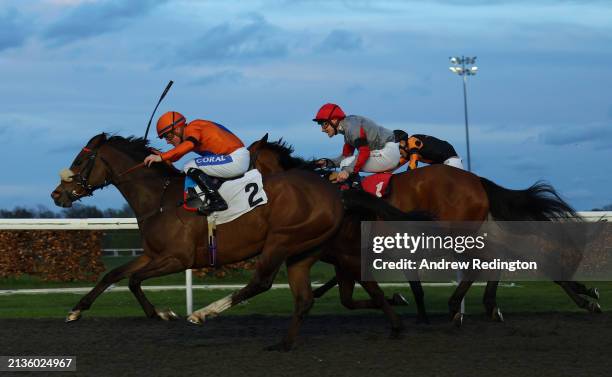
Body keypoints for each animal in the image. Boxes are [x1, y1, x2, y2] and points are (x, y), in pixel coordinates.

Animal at [51, 133, 412, 350]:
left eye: (80, 161)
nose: (57, 194)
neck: (159, 197)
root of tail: (337, 194)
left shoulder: (177, 258)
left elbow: (133, 280)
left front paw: (162, 313)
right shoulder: (152, 254)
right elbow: (113, 275)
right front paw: (75, 311)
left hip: (282, 241)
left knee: (261, 283)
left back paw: (203, 313)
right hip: (306, 251)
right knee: (312, 296)